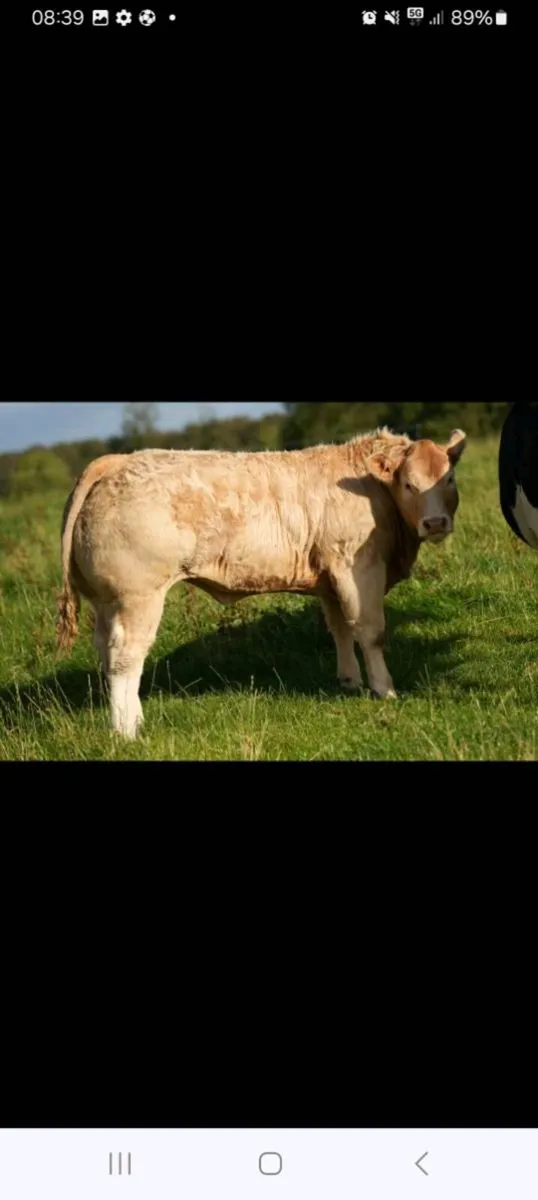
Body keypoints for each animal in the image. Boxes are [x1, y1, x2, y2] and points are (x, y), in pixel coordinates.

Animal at [56, 427, 467, 738]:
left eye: (449, 479)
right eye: (409, 484)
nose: (435, 523)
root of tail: (117, 461)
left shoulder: (329, 579)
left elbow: (340, 630)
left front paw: (349, 681)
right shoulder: (358, 567)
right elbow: (370, 631)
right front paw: (384, 688)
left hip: (106, 602)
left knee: (106, 651)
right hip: (138, 597)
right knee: (126, 657)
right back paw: (127, 729)